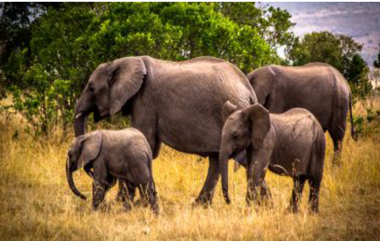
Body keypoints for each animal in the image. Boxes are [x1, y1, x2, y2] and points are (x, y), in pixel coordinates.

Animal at [73, 56, 258, 205]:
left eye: (91, 88)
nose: (89, 169)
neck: (121, 62)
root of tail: (249, 90)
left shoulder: (144, 101)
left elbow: (144, 140)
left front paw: (126, 201)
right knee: (217, 159)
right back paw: (200, 204)